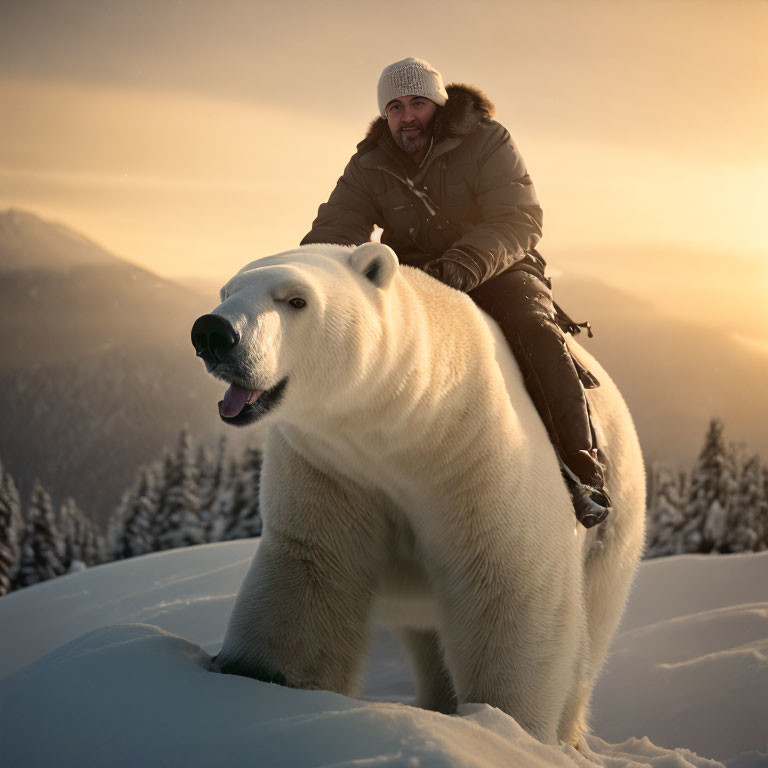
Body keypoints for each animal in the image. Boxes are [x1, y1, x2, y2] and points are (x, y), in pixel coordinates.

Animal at [190, 244, 640, 744]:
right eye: (227, 291)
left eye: (296, 300)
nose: (213, 332)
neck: (411, 424)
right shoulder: (331, 468)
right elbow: (309, 576)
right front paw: (259, 679)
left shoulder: (476, 456)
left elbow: (509, 585)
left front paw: (506, 728)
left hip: (612, 538)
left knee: (589, 637)